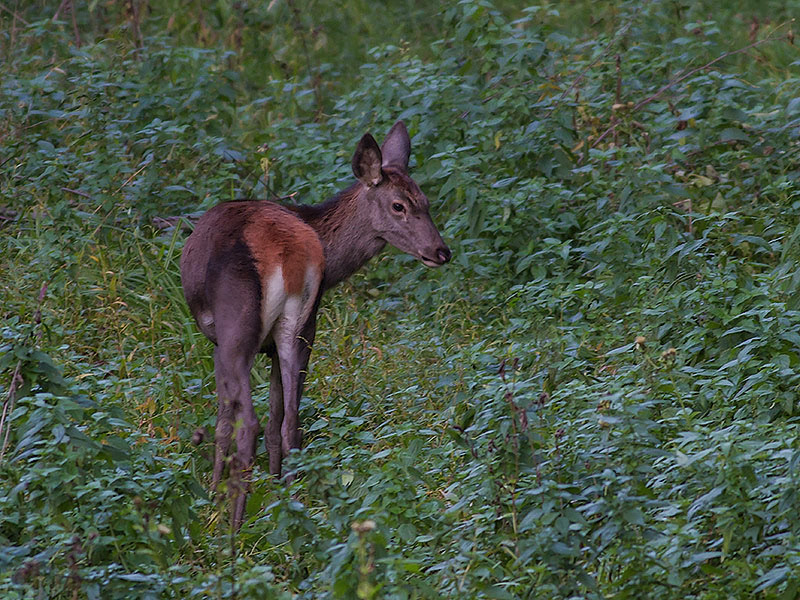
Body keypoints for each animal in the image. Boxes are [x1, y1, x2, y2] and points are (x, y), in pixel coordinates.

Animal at [180, 120, 450, 524]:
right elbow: (278, 417)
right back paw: (289, 507)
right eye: (401, 204)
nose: (441, 251)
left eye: (426, 204)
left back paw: (232, 527)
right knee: (291, 422)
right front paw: (275, 486)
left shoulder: (217, 340)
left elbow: (225, 422)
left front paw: (212, 495)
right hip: (300, 326)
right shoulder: (288, 337)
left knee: (248, 423)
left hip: (237, 325)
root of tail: (287, 253)